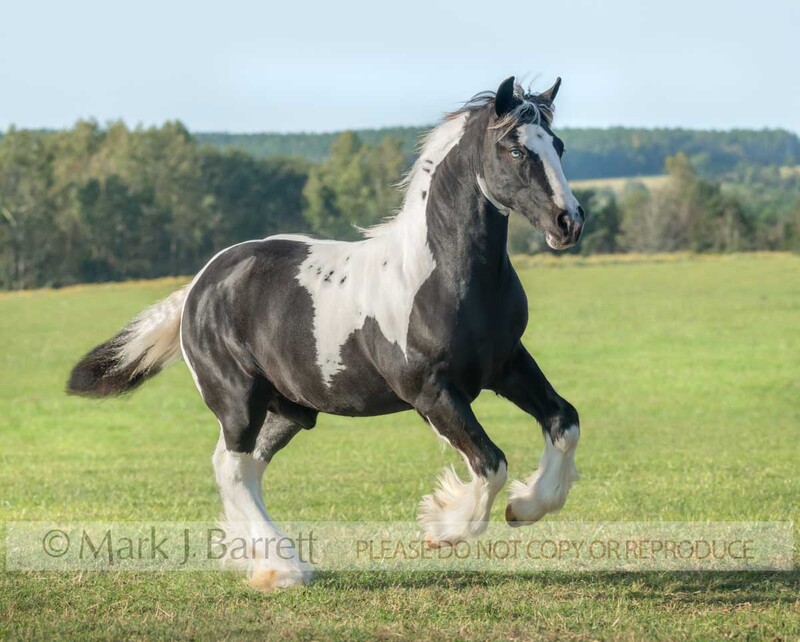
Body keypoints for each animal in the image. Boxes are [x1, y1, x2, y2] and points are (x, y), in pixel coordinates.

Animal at [67, 76, 585, 590]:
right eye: (515, 150)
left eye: (558, 145)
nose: (570, 222)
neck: (440, 275)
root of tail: (200, 283)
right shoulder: (431, 392)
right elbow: (491, 463)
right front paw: (442, 527)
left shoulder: (506, 365)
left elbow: (565, 422)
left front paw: (524, 507)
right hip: (238, 401)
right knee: (231, 468)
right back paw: (285, 568)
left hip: (289, 409)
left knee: (247, 467)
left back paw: (261, 560)